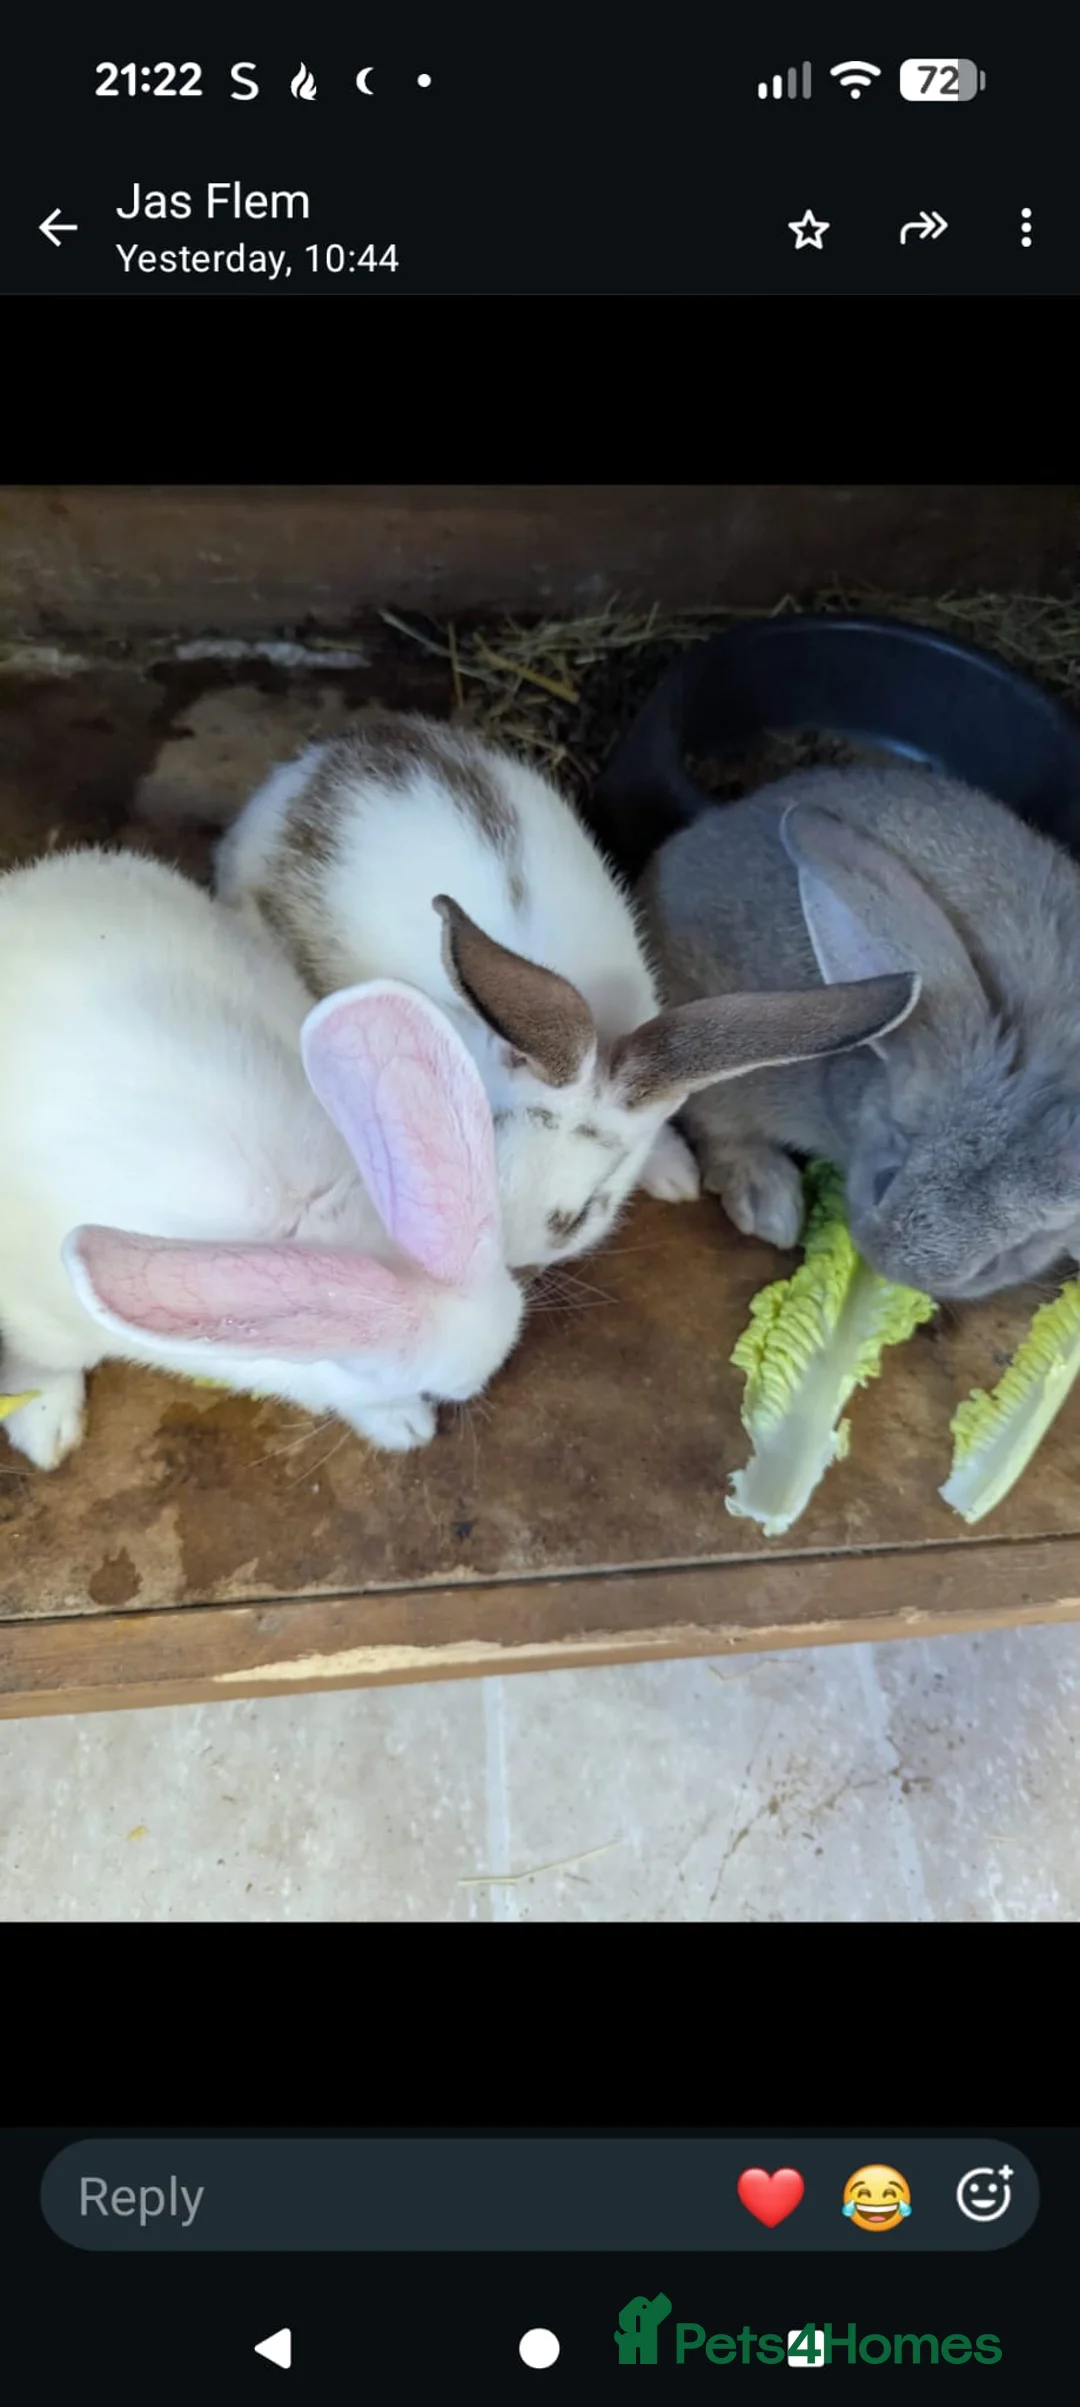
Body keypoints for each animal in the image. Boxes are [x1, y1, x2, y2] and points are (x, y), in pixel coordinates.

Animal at [0, 845, 527, 1472]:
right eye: (371, 1369)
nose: (483, 1373)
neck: (308, 1223)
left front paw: (402, 1425)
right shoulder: (38, 1312)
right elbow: (42, 1364)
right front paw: (44, 1426)